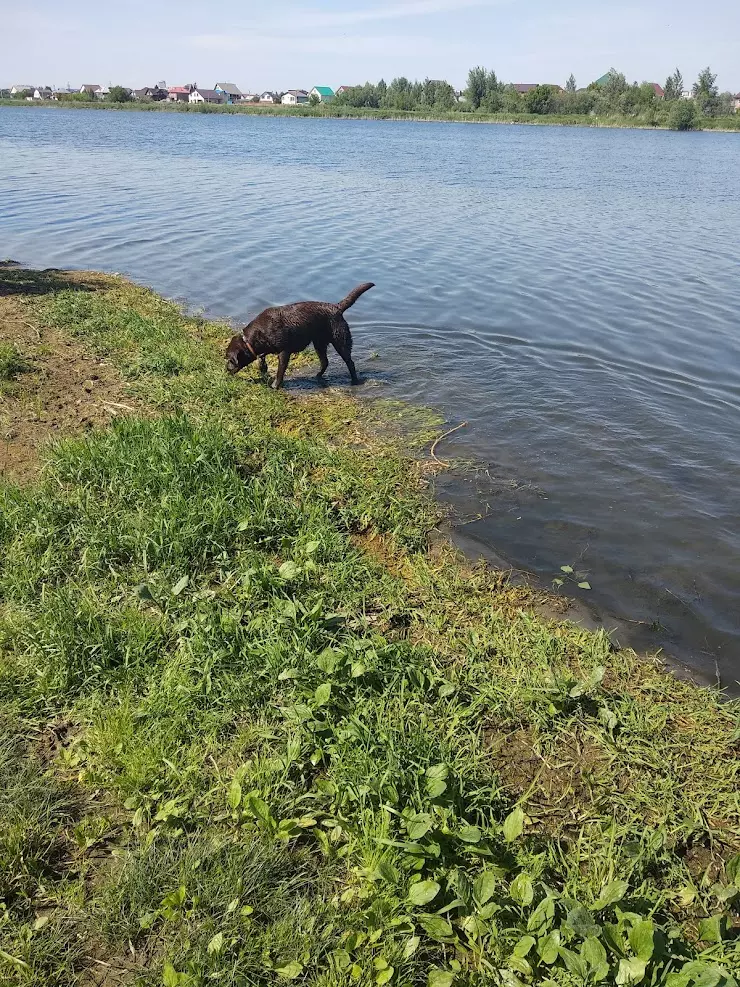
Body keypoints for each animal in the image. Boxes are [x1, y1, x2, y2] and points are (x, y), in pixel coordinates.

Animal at [224, 284, 376, 388]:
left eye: (230, 360)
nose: (226, 370)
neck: (254, 338)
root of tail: (336, 307)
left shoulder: (284, 352)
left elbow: (280, 371)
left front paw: (275, 385)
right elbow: (262, 357)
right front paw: (263, 369)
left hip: (341, 341)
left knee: (350, 362)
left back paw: (354, 381)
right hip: (319, 343)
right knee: (325, 362)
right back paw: (317, 376)